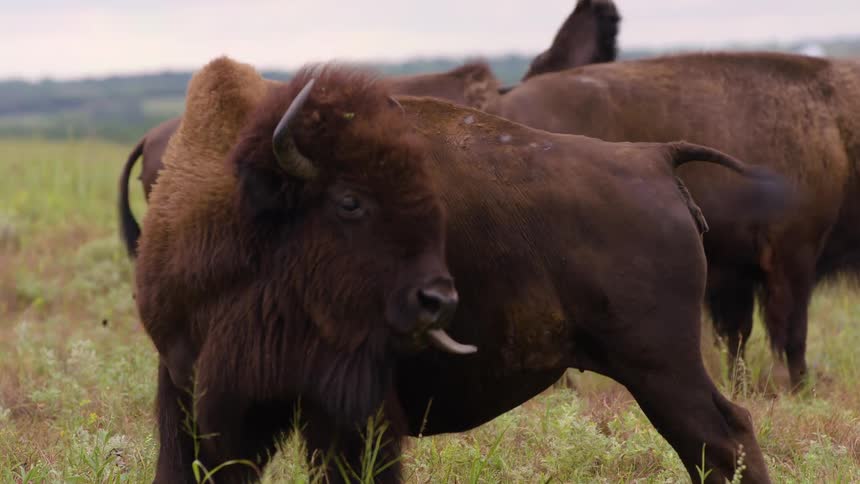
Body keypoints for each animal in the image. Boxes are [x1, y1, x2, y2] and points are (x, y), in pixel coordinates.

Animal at [132, 57, 775, 483]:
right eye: (349, 201)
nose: (437, 301)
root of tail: (654, 158)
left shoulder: (348, 414)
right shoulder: (192, 392)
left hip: (659, 363)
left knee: (724, 436)